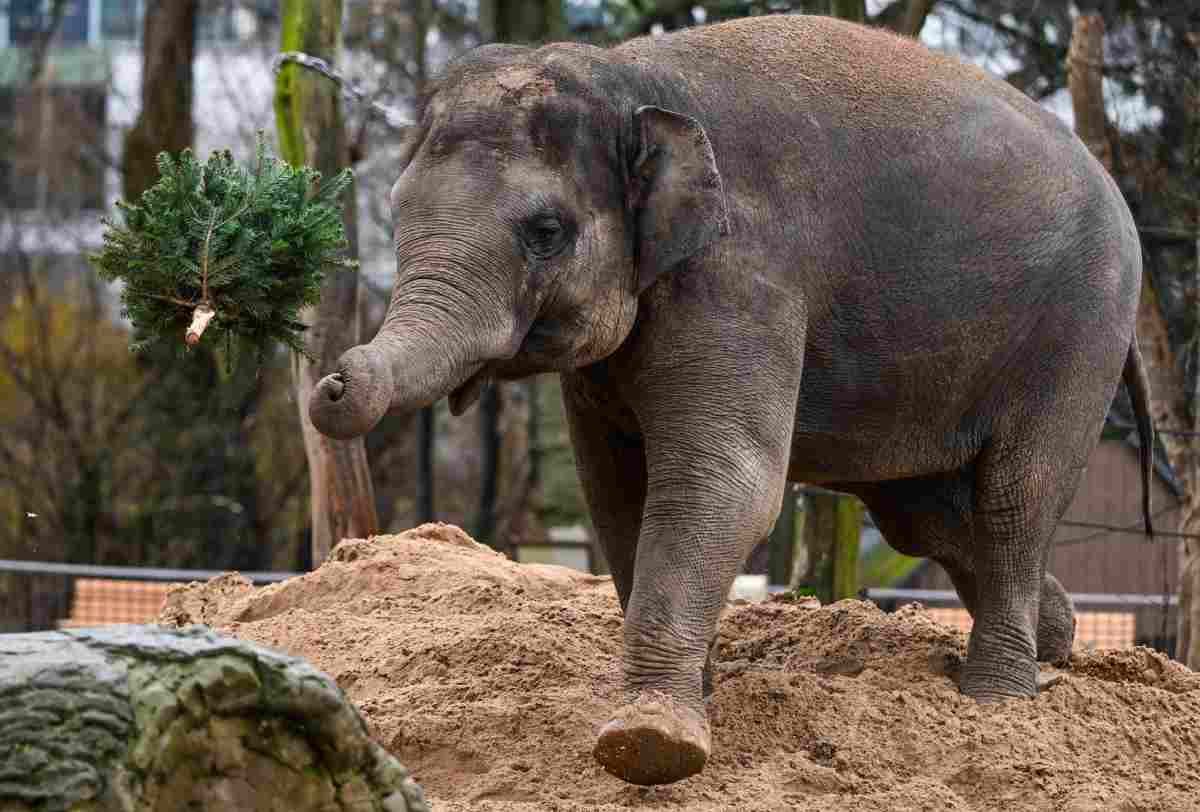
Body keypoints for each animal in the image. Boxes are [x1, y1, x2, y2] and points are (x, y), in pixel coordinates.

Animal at [307, 14, 1152, 786]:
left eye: (546, 230)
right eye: (396, 208)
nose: (332, 382)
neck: (630, 80)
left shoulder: (741, 271)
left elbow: (719, 482)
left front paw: (649, 745)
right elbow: (615, 492)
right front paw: (690, 700)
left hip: (1082, 327)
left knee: (1014, 498)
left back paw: (996, 698)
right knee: (924, 515)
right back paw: (1059, 641)